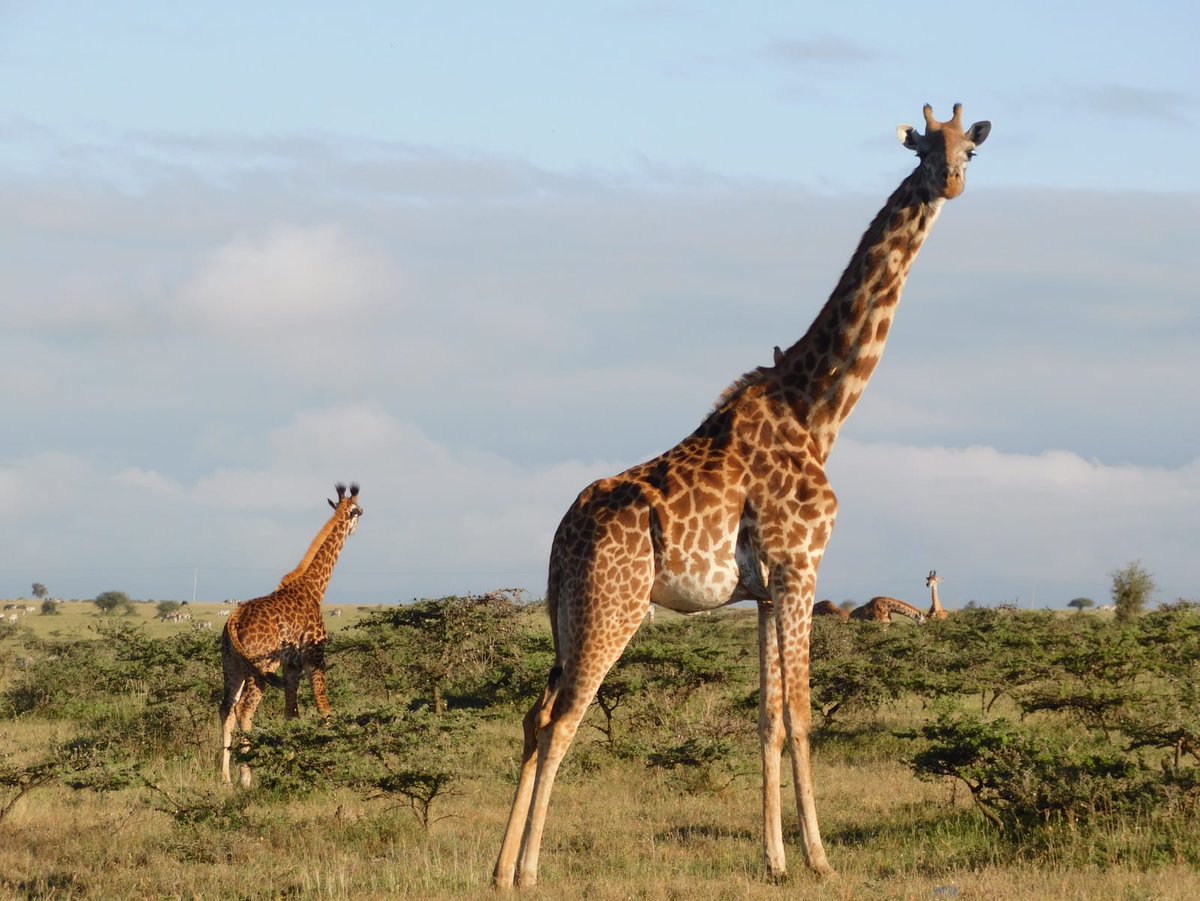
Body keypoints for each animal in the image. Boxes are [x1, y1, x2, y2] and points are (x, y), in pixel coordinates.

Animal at [218, 482, 360, 787]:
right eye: (360, 511)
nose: (355, 530)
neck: (315, 587)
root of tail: (233, 620)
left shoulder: (291, 664)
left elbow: (291, 712)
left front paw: (292, 763)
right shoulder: (314, 656)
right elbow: (323, 706)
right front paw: (331, 764)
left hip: (232, 665)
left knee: (226, 708)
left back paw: (225, 778)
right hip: (261, 666)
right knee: (244, 710)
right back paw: (245, 777)